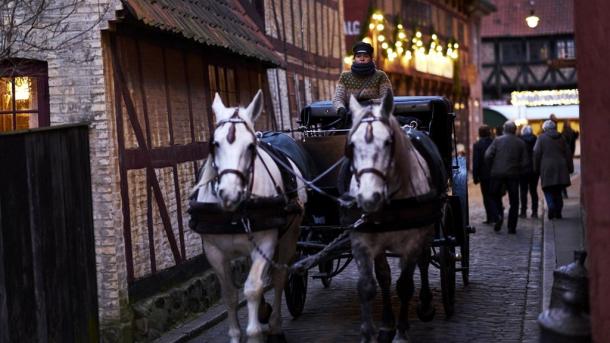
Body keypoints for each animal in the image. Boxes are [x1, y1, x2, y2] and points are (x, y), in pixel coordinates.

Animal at [191, 90, 306, 342]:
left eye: (251, 146)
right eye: (214, 144)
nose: (229, 193)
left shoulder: (266, 243)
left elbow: (253, 288)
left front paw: (255, 333)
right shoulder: (214, 252)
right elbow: (230, 295)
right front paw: (236, 335)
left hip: (289, 237)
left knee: (279, 278)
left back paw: (274, 326)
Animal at [344, 92, 434, 343]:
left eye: (387, 142)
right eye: (351, 145)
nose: (368, 197)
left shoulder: (412, 243)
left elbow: (404, 286)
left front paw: (402, 332)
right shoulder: (362, 241)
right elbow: (367, 286)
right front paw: (370, 333)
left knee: (424, 262)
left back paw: (425, 305)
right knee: (384, 276)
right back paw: (386, 323)